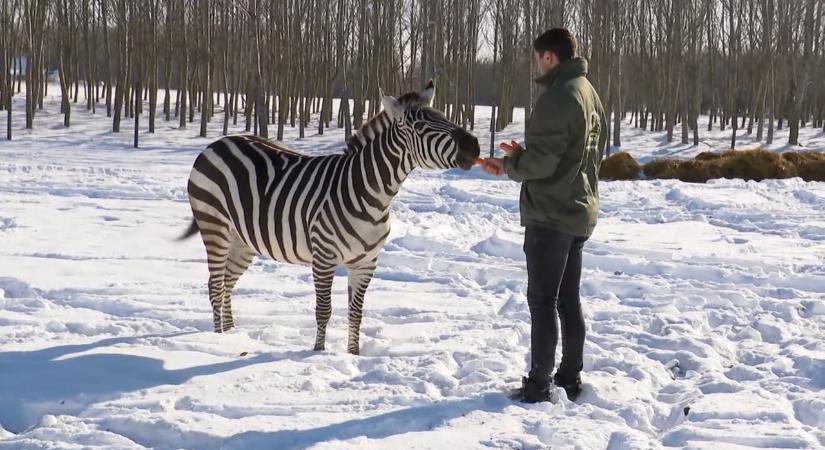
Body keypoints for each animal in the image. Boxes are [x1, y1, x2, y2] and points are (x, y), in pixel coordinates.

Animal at [179, 81, 480, 354]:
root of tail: (217, 143)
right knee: (216, 285)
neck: (372, 196)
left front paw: (354, 355)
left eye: (446, 117)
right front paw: (318, 353)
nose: (475, 146)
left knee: (228, 283)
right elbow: (324, 309)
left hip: (243, 239)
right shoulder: (324, 256)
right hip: (215, 227)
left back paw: (232, 334)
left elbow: (356, 312)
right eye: (420, 127)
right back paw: (219, 341)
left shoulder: (366, 262)